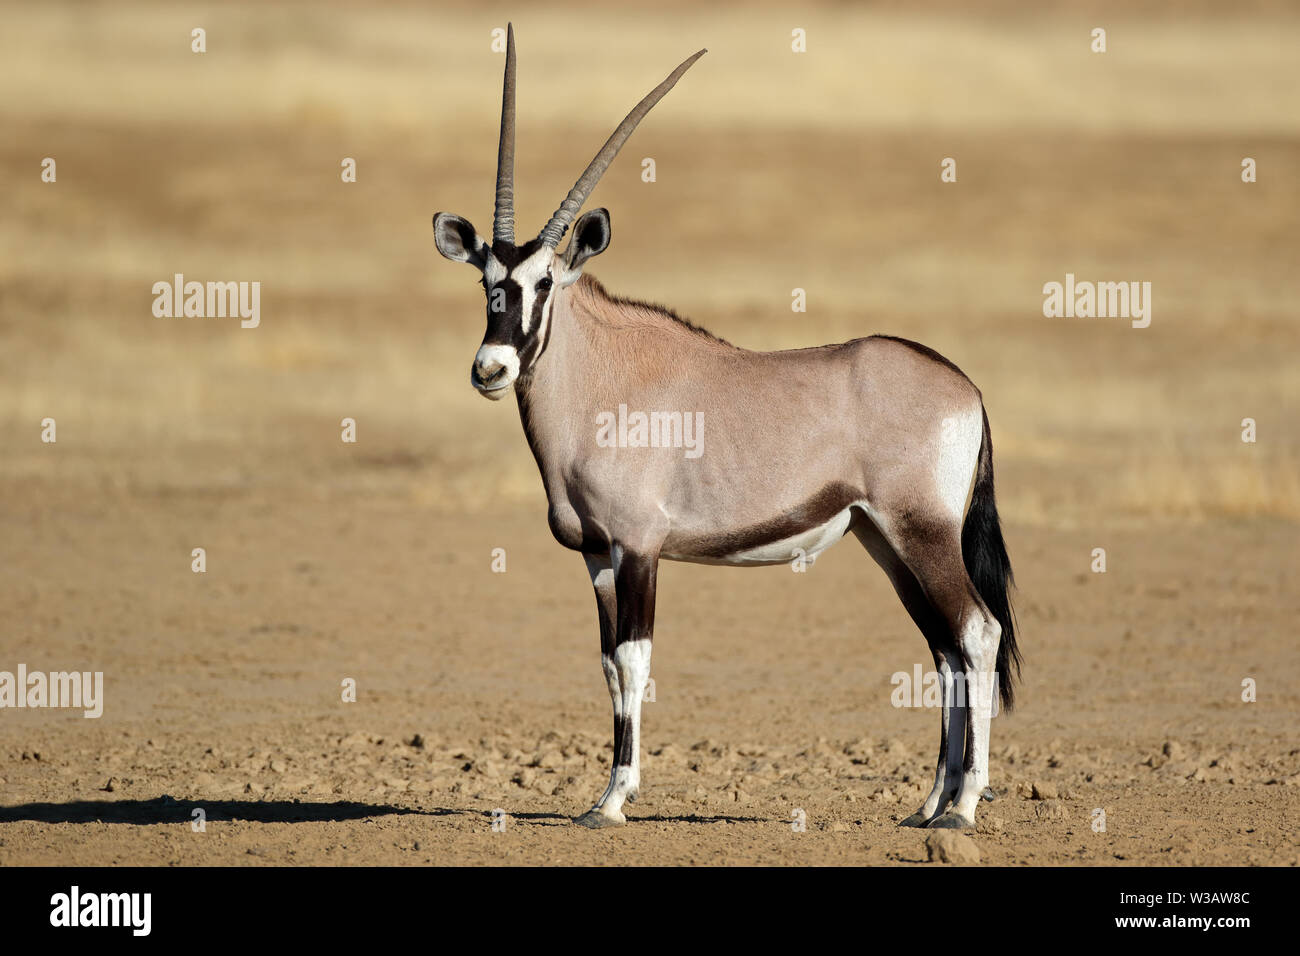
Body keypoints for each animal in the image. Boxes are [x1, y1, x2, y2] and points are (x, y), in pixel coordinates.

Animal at [431, 25, 1020, 829]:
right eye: (488, 282)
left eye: (544, 282)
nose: (489, 368)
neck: (607, 379)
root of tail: (966, 387)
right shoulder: (597, 555)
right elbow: (608, 665)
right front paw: (602, 795)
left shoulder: (640, 547)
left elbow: (635, 661)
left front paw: (614, 800)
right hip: (888, 541)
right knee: (945, 651)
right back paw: (927, 803)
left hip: (922, 533)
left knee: (977, 633)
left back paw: (962, 807)